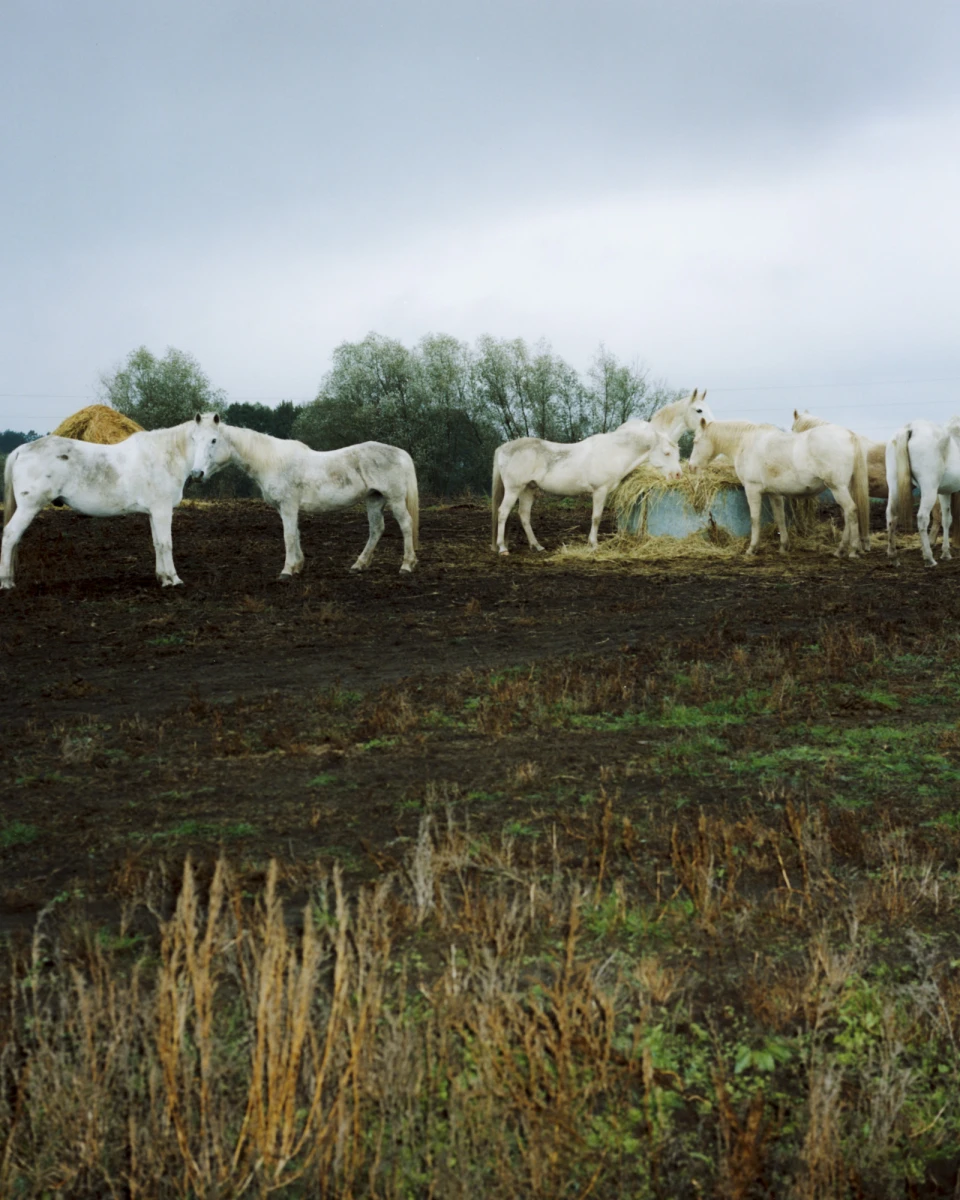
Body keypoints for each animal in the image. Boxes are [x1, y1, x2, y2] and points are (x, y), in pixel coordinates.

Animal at [1, 413, 222, 589]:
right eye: (194, 439)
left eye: (214, 440)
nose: (197, 473)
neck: (164, 456)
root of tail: (22, 450)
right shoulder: (162, 510)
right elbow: (167, 543)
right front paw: (174, 580)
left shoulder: (154, 512)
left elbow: (158, 543)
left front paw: (163, 578)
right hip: (28, 508)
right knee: (10, 535)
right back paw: (6, 582)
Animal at [190, 417, 419, 574]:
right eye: (194, 440)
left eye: (213, 440)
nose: (196, 474)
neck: (273, 462)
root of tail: (400, 453)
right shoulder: (286, 508)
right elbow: (296, 533)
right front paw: (298, 566)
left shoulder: (288, 505)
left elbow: (289, 535)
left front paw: (287, 570)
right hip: (374, 499)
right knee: (376, 529)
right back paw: (359, 565)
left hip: (395, 500)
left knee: (406, 525)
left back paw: (407, 565)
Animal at [491, 420, 682, 555]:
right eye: (667, 453)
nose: (678, 475)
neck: (614, 451)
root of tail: (504, 447)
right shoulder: (599, 491)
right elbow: (596, 518)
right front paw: (593, 544)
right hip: (514, 489)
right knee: (502, 513)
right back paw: (502, 548)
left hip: (528, 489)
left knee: (524, 515)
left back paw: (536, 546)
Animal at [688, 418, 870, 558]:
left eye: (695, 441)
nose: (691, 467)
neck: (746, 442)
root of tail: (849, 435)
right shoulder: (774, 494)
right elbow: (780, 518)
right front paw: (783, 547)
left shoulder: (752, 490)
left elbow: (754, 519)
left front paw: (752, 549)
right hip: (844, 488)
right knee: (848, 513)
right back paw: (840, 550)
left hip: (837, 487)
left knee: (851, 510)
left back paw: (852, 550)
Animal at [886, 418, 960, 566]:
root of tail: (910, 428)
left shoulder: (945, 492)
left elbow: (946, 519)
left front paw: (946, 553)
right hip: (929, 489)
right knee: (922, 518)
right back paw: (929, 558)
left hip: (894, 484)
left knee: (891, 515)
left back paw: (893, 556)